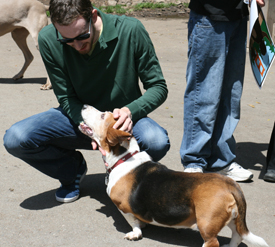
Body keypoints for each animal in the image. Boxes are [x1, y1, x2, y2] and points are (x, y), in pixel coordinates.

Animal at [79, 104, 270, 247]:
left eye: (103, 115)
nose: (84, 105)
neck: (124, 157)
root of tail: (231, 185)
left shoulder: (124, 207)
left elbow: (133, 223)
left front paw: (135, 233)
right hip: (232, 217)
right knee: (237, 236)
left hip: (206, 224)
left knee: (213, 241)